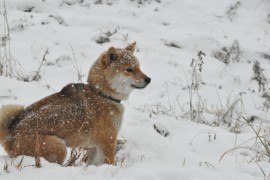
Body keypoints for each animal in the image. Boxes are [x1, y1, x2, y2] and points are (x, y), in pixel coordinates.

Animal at [0, 41, 151, 165]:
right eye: (129, 69)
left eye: (139, 67)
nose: (149, 79)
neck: (102, 94)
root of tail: (12, 132)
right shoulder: (108, 142)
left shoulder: (95, 148)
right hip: (59, 148)